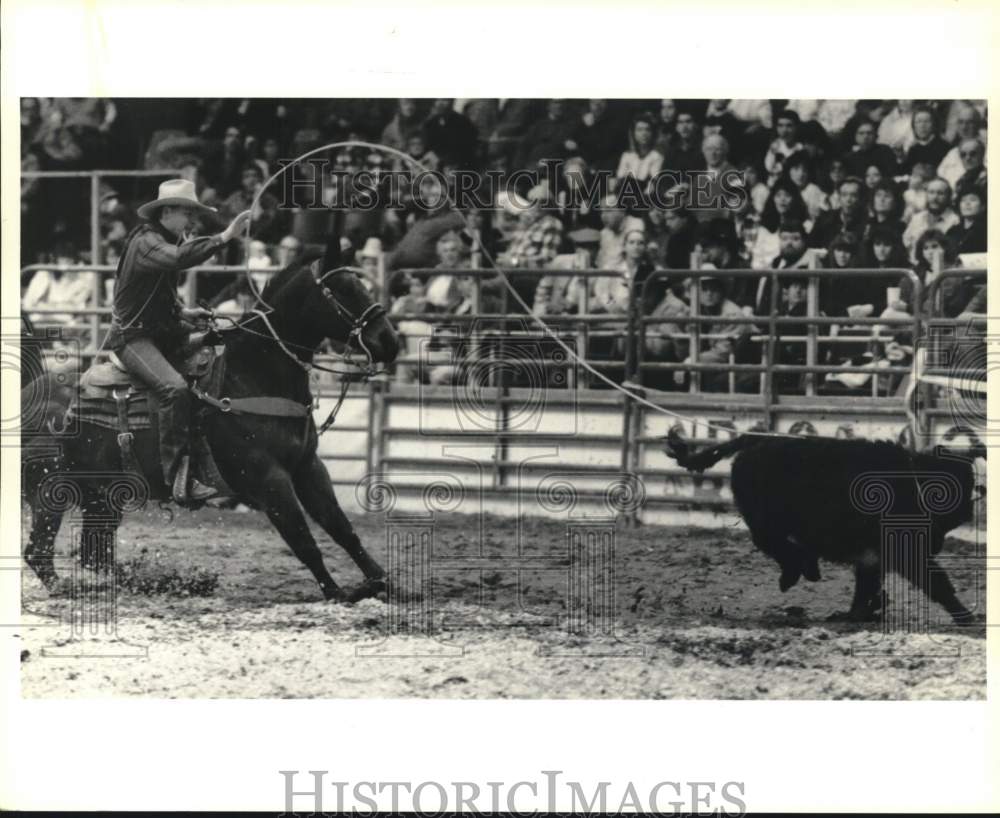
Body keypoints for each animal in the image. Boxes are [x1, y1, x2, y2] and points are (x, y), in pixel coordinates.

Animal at [20, 258, 402, 604]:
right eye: (344, 290)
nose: (390, 340)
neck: (251, 374)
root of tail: (30, 393)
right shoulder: (269, 479)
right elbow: (303, 540)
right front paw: (338, 592)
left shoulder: (309, 468)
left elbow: (341, 528)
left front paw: (383, 583)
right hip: (50, 491)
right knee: (39, 551)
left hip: (101, 496)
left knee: (94, 555)